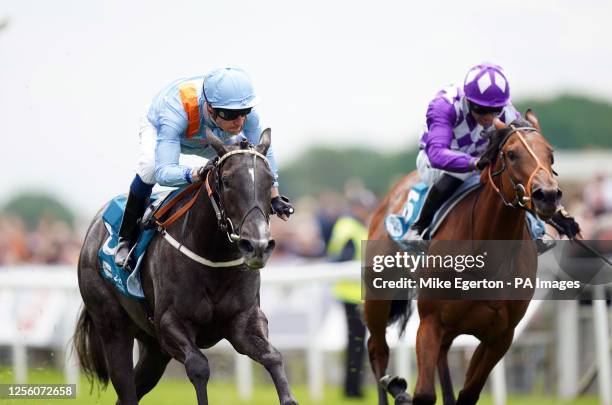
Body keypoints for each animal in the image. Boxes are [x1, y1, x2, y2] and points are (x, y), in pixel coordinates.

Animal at [74, 129, 298, 404]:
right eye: (226, 181)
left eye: (270, 180)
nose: (257, 244)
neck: (213, 259)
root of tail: (94, 225)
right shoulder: (170, 323)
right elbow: (198, 365)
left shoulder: (244, 321)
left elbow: (273, 356)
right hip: (112, 326)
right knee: (125, 387)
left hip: (153, 349)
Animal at [366, 111, 560, 404]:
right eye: (512, 154)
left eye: (550, 154)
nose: (547, 195)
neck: (488, 257)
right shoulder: (430, 321)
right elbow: (424, 393)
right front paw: (403, 390)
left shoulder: (500, 336)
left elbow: (468, 393)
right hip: (378, 293)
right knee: (377, 348)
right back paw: (394, 386)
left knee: (442, 355)